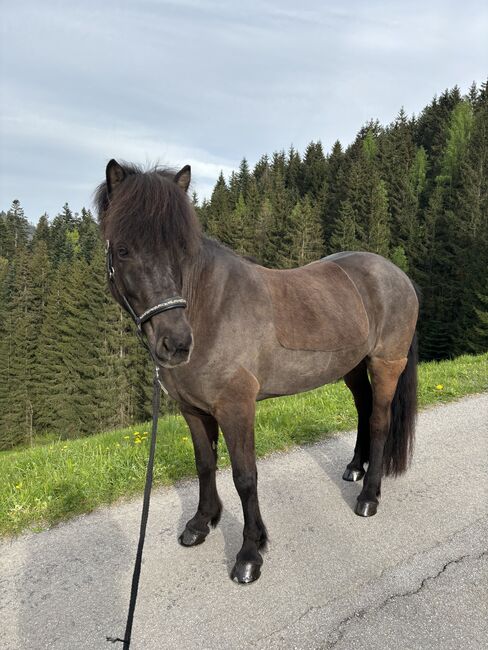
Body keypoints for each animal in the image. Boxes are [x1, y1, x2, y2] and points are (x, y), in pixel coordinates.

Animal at [96, 161, 420, 584]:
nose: (176, 343)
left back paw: (368, 496)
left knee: (380, 421)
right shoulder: (193, 410)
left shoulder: (237, 407)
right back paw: (354, 469)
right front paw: (201, 523)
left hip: (386, 364)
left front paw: (250, 553)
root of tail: (397, 274)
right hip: (351, 367)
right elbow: (204, 464)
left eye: (182, 250)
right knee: (364, 412)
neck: (209, 308)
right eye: (123, 249)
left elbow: (244, 476)